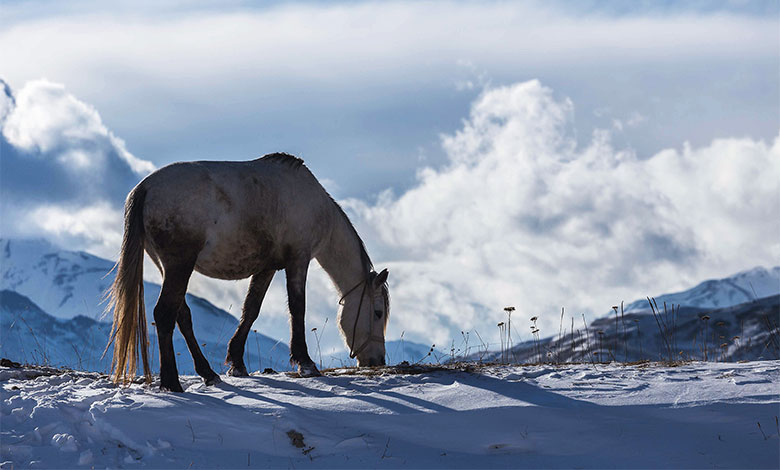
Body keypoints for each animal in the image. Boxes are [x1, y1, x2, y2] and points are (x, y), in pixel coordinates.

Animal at [106, 152, 390, 392]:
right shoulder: (298, 260)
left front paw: (237, 362)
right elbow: (297, 308)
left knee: (181, 315)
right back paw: (172, 383)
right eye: (377, 313)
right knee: (165, 314)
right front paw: (306, 363)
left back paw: (208, 373)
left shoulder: (267, 267)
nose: (377, 360)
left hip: (168, 268)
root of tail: (145, 188)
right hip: (179, 266)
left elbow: (251, 309)